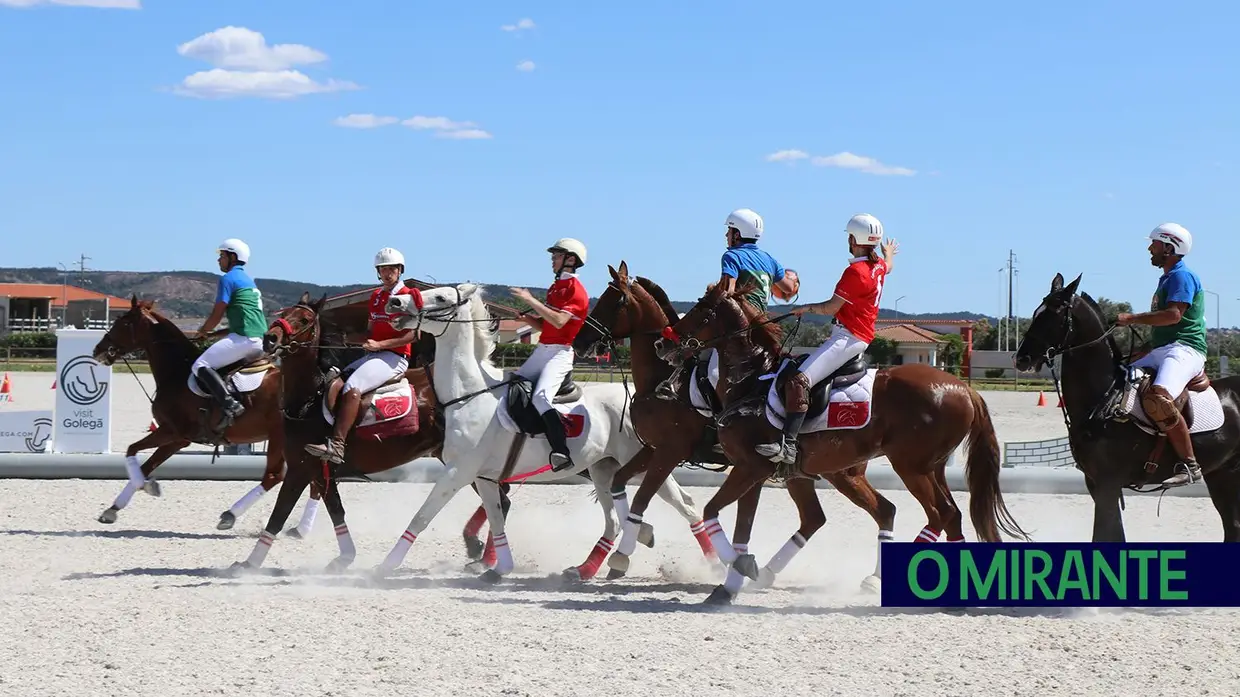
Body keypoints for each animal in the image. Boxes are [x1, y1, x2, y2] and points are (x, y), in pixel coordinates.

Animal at [91, 292, 287, 525]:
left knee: (274, 475)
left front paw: (147, 486)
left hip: (278, 437)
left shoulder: (173, 432)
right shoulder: (177, 438)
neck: (176, 370)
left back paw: (231, 515)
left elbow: (133, 451)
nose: (98, 350)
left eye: (124, 322)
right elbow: (145, 463)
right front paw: (114, 508)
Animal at [376, 279, 709, 577]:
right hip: (603, 468)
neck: (470, 393)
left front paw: (385, 566)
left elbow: (421, 517)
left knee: (684, 504)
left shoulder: (458, 472)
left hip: (645, 463)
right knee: (615, 520)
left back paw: (712, 563)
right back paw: (589, 567)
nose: (395, 303)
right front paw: (500, 568)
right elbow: (496, 519)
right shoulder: (484, 477)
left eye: (441, 297)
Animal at [570, 262, 902, 600]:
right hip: (823, 472)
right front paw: (638, 539)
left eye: (615, 302)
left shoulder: (669, 451)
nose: (580, 343)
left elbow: (642, 498)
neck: (662, 381)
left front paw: (623, 554)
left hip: (837, 472)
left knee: (870, 512)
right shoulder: (652, 449)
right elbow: (620, 484)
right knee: (843, 515)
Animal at [654, 282, 1031, 597]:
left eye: (702, 309)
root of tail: (964, 388)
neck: (750, 380)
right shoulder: (759, 471)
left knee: (940, 513)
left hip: (911, 467)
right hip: (921, 468)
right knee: (940, 515)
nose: (662, 343)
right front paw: (737, 576)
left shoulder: (750, 467)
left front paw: (739, 570)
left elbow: (714, 511)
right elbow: (741, 526)